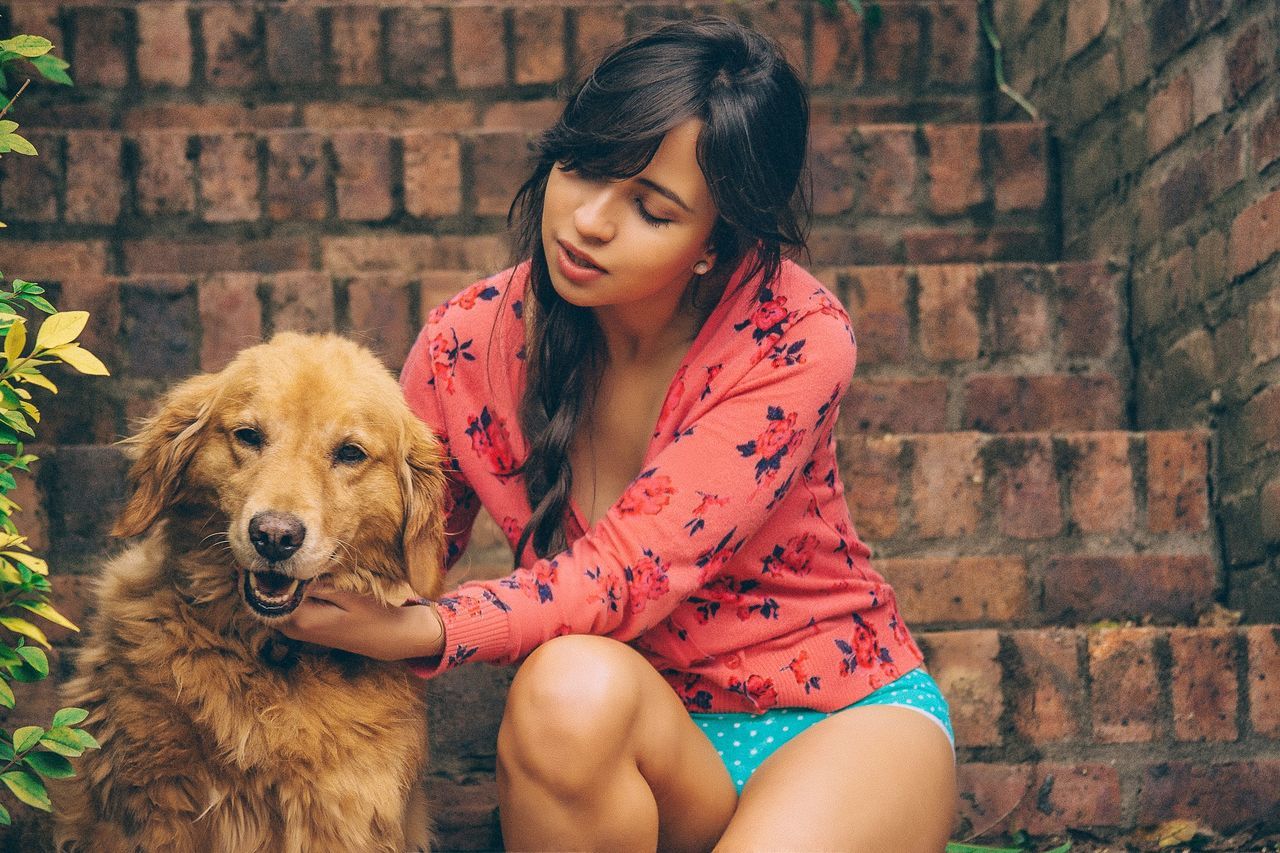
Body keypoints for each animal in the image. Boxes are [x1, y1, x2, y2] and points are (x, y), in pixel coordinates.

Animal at [52, 330, 448, 850]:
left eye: (350, 453)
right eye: (248, 436)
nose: (275, 536)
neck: (268, 651)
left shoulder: (341, 812)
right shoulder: (150, 808)